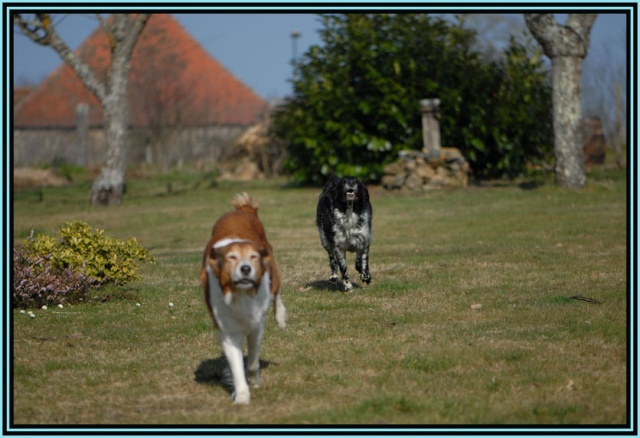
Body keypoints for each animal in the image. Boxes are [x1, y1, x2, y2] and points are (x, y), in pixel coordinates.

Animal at [200, 193, 288, 406]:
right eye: (231, 257)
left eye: (253, 257)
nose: (246, 269)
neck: (240, 293)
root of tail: (243, 210)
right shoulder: (228, 330)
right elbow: (237, 365)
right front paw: (241, 395)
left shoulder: (256, 323)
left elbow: (253, 360)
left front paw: (254, 380)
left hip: (273, 269)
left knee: (276, 293)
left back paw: (281, 317)